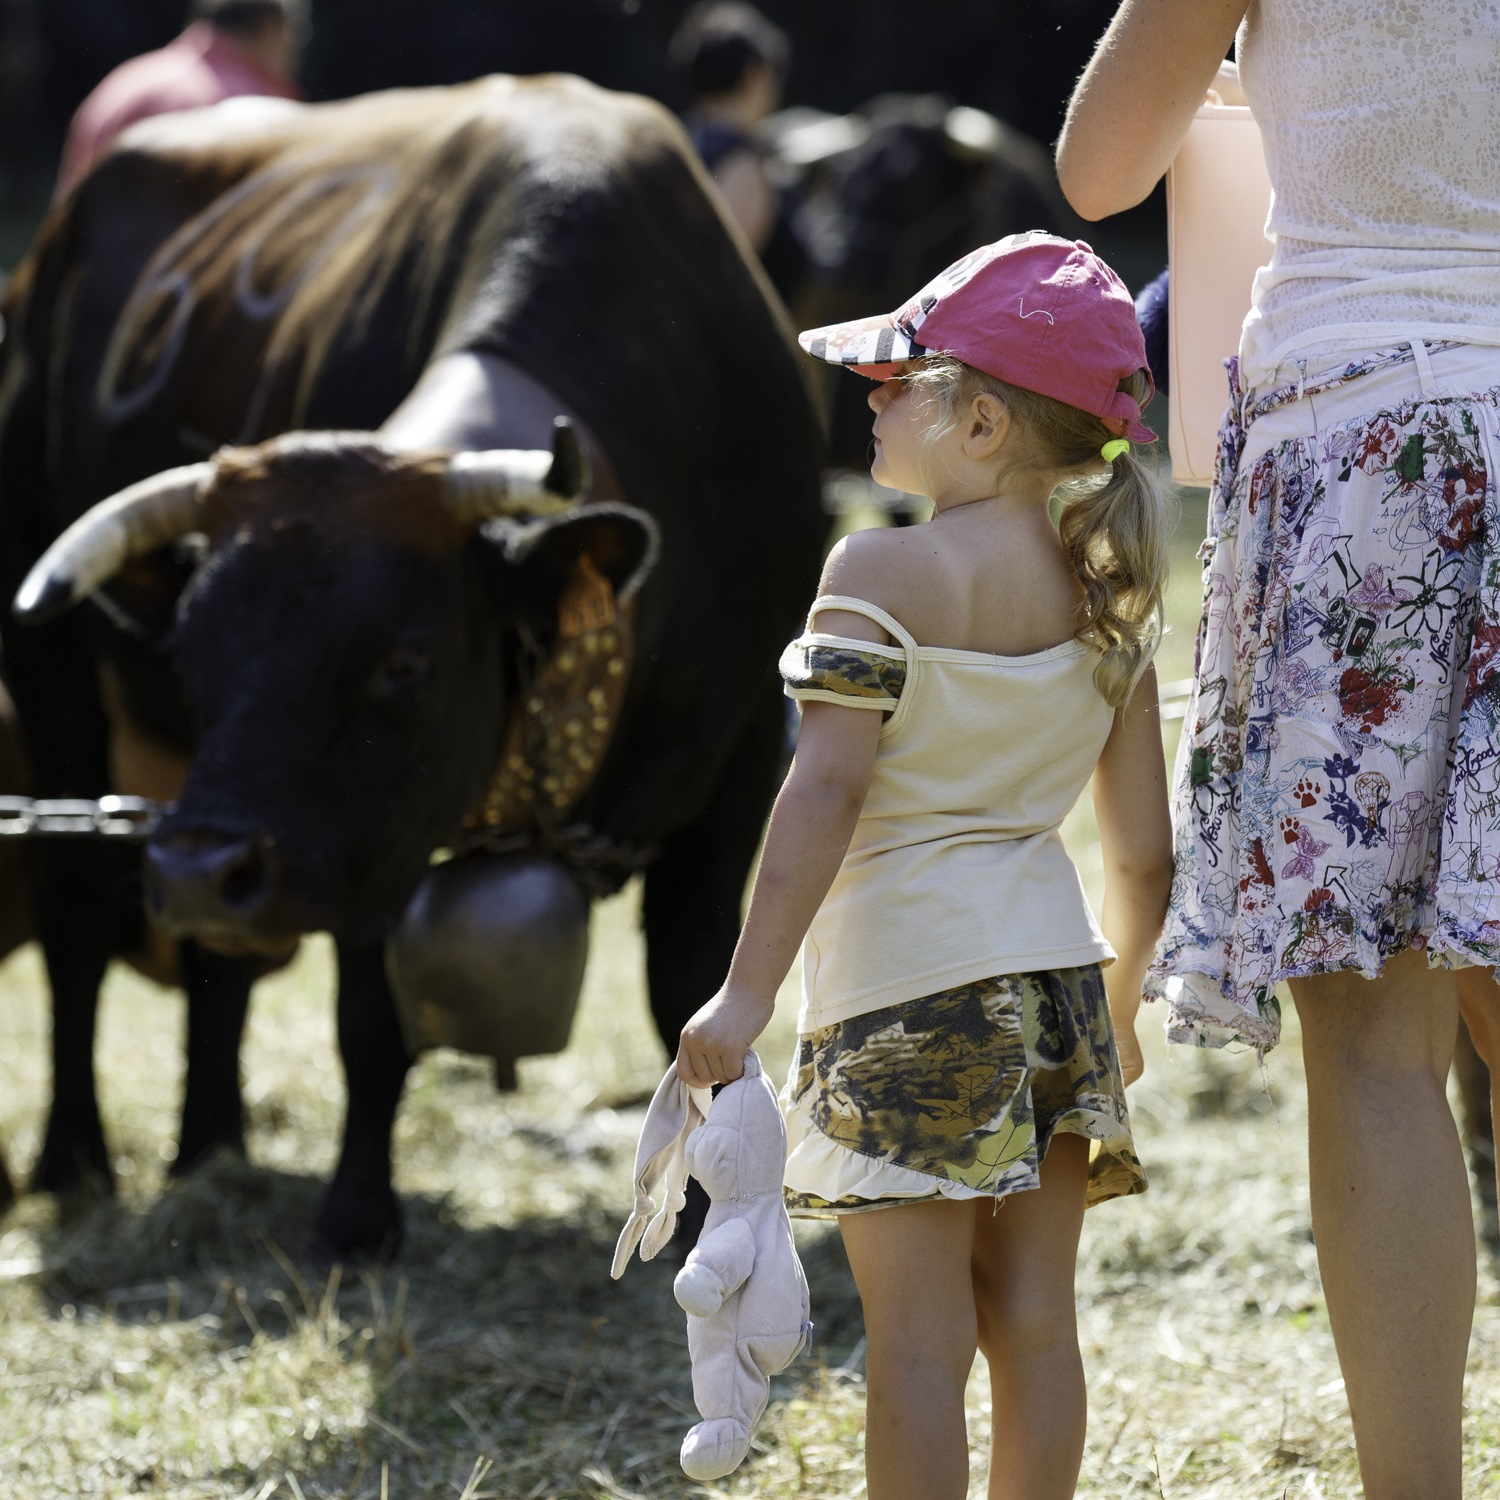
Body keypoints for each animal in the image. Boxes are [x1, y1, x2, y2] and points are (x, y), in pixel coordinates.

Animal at [0, 79, 822, 1254]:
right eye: (191, 652)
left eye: (404, 661)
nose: (198, 873)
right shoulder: (371, 834)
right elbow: (369, 1017)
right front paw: (356, 1214)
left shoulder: (748, 740)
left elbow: (690, 984)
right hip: (63, 684)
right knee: (75, 914)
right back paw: (76, 1158)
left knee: (219, 964)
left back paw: (212, 1144)